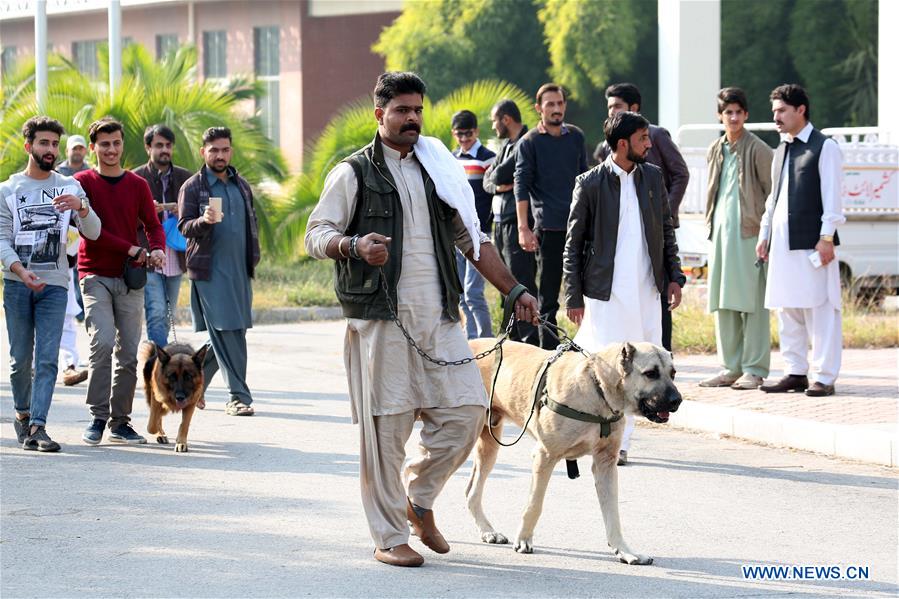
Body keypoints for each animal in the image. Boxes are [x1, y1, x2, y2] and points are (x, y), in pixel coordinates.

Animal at [464, 340, 684, 564]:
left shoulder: (606, 464)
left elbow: (613, 513)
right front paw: (524, 539)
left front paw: (624, 550)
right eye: (651, 373)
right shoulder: (545, 456)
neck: (598, 388)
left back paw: (487, 531)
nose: (677, 400)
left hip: (489, 446)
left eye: (673, 373)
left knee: (471, 492)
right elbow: (534, 505)